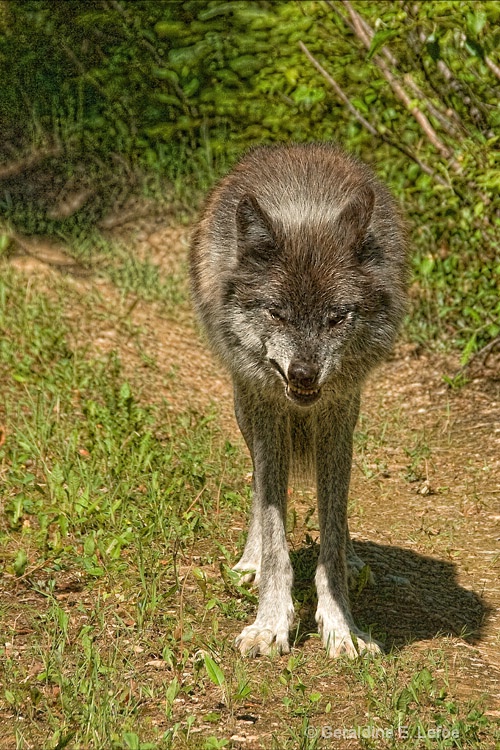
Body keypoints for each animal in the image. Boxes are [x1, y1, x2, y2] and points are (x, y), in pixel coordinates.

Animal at [189, 142, 408, 656]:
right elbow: (274, 528)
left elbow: (332, 525)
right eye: (278, 313)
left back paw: (354, 559)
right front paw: (270, 623)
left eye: (336, 317)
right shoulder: (268, 410)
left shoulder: (336, 413)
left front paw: (342, 626)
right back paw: (249, 563)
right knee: (258, 487)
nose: (303, 373)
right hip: (246, 410)